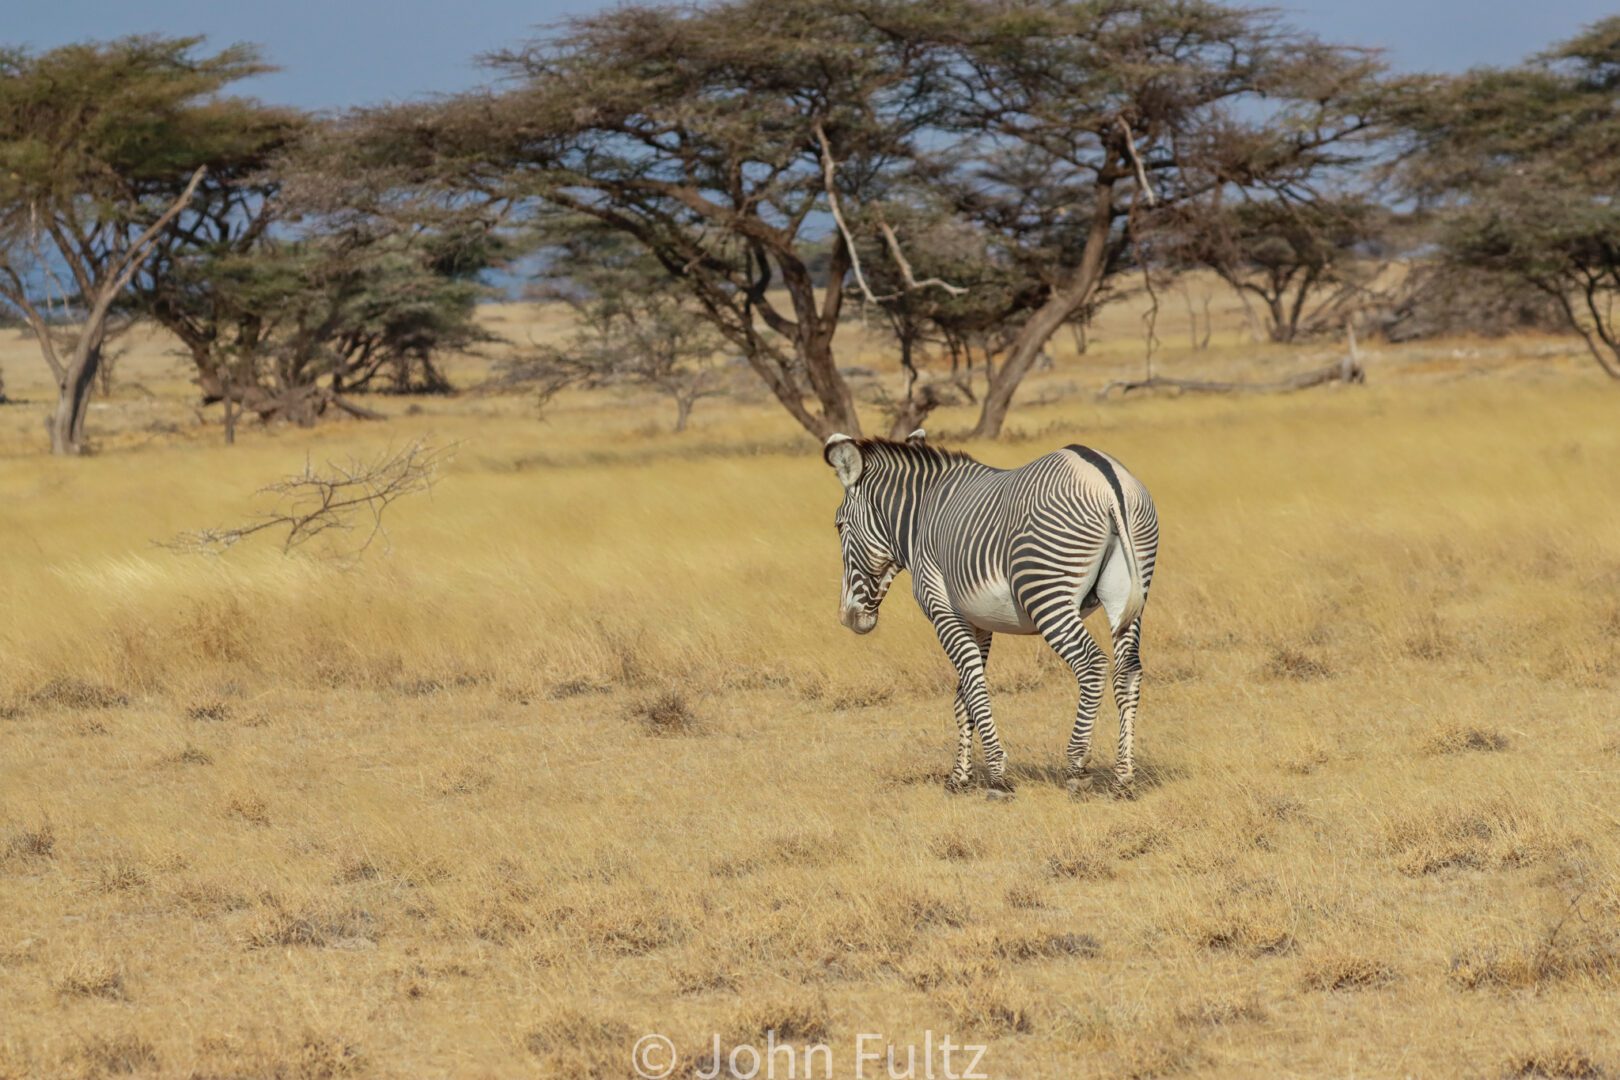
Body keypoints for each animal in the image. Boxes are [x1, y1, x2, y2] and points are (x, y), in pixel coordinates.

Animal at [829, 427, 1159, 793]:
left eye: (839, 526)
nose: (848, 618)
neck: (921, 519)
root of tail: (1108, 480)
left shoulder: (944, 611)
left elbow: (974, 688)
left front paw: (997, 776)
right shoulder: (978, 621)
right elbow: (963, 696)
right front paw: (959, 776)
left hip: (1046, 592)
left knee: (1092, 664)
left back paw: (1077, 767)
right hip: (1128, 592)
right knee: (1129, 670)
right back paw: (1123, 776)